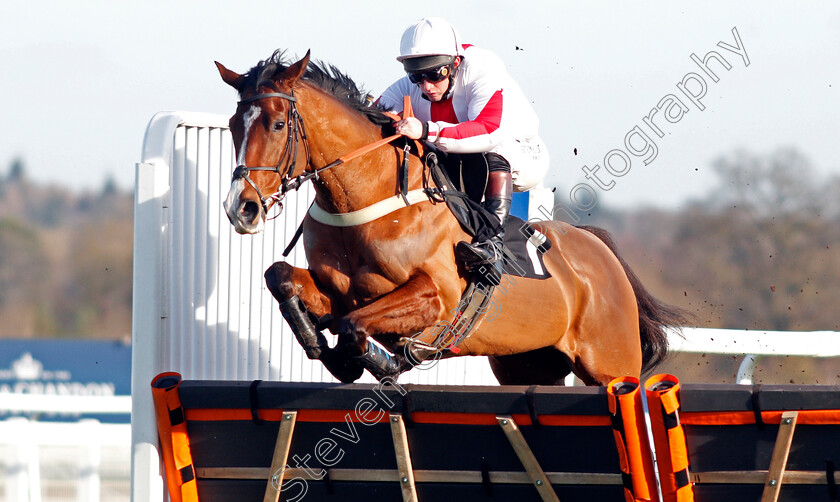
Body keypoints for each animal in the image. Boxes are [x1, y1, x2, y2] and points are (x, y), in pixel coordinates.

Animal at [215, 51, 684, 386]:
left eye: (278, 124)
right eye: (234, 125)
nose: (241, 208)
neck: (366, 202)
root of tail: (600, 252)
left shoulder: (435, 294)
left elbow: (353, 327)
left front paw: (379, 362)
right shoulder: (340, 291)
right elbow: (281, 276)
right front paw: (322, 344)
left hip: (611, 364)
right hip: (528, 365)